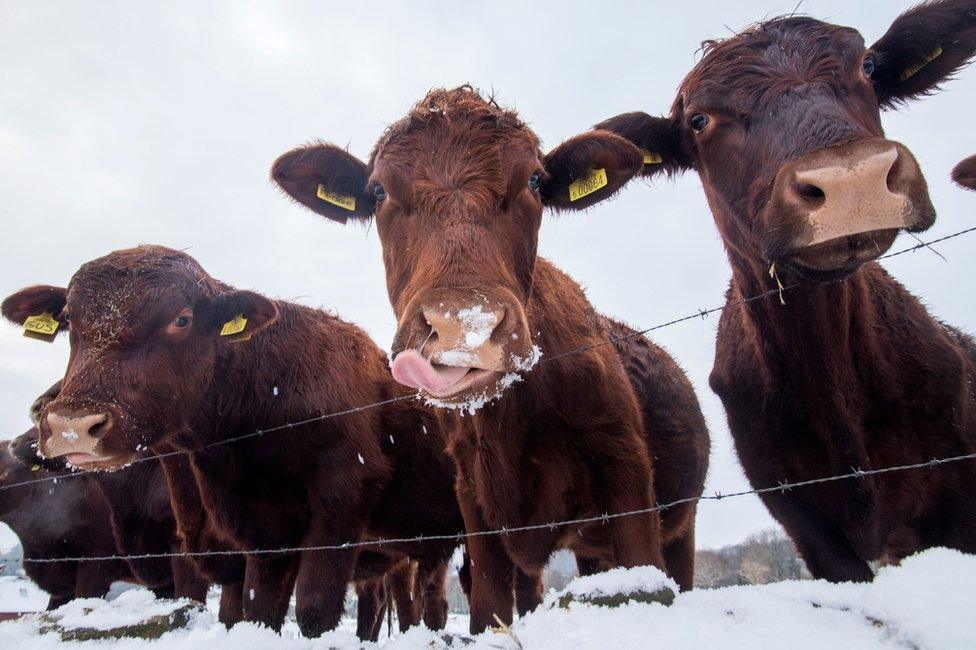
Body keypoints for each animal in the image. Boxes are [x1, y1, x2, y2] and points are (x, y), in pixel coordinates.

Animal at [268, 83, 708, 632]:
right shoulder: (473, 499)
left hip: (682, 522)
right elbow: (489, 604)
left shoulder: (624, 465)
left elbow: (643, 582)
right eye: (378, 192)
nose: (464, 326)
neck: (509, 422)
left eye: (536, 182)